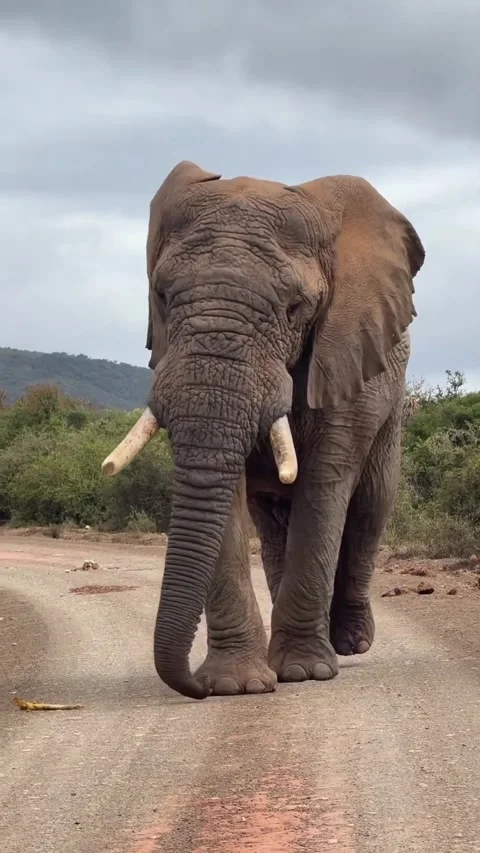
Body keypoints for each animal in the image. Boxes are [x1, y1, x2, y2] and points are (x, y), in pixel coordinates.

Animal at [102, 160, 425, 701]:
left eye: (296, 307)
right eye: (162, 296)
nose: (192, 686)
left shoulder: (344, 356)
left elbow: (324, 486)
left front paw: (304, 673)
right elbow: (224, 492)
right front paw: (238, 684)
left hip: (390, 404)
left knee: (368, 510)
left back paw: (348, 643)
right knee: (275, 526)